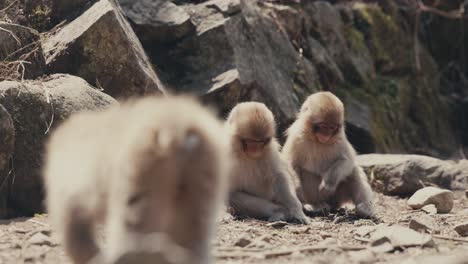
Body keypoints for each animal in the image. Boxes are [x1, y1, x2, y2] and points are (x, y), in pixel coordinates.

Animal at [43, 96, 229, 262]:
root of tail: (176, 129)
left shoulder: (71, 184)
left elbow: (73, 224)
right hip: (203, 173)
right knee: (195, 229)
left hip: (141, 172)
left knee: (134, 228)